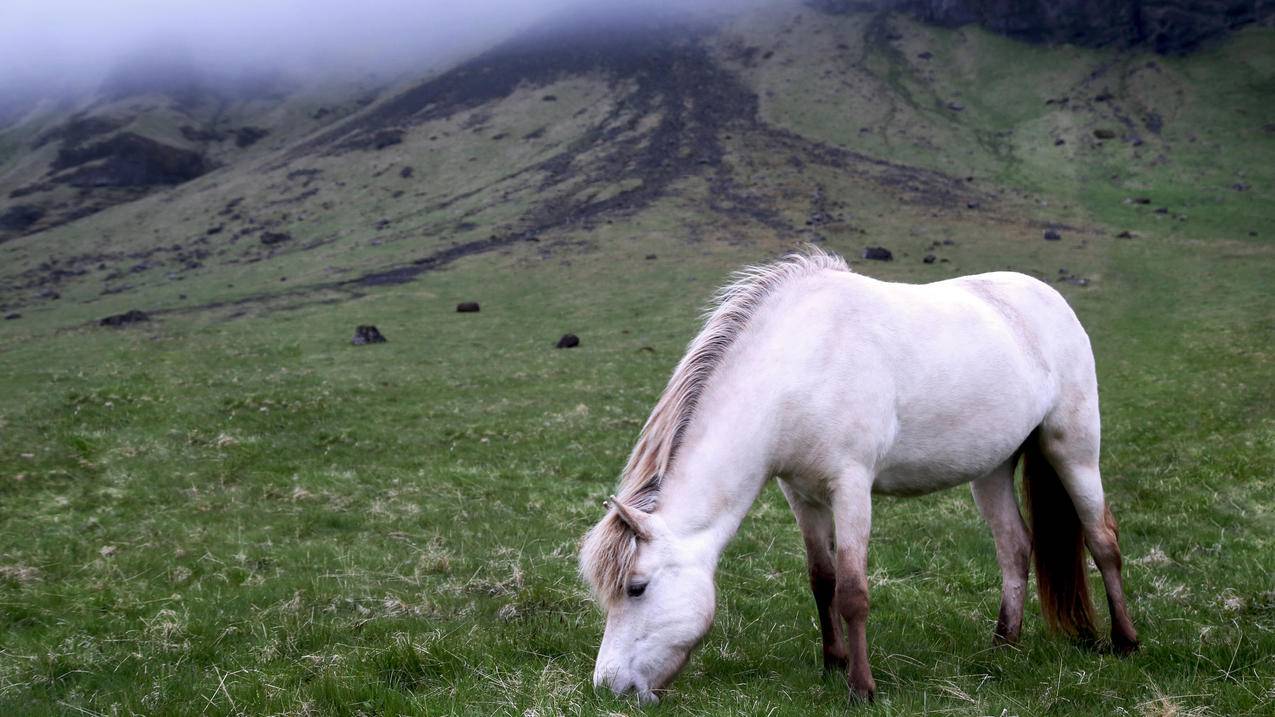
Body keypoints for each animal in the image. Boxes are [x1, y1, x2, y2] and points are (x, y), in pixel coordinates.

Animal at [583, 247, 1142, 704]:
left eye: (636, 588)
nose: (609, 687)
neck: (799, 366)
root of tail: (1049, 298)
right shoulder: (801, 494)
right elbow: (821, 580)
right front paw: (832, 665)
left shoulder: (851, 486)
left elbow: (852, 591)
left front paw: (861, 687)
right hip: (992, 469)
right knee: (1014, 547)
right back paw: (1003, 646)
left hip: (1073, 449)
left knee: (1102, 539)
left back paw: (1125, 641)